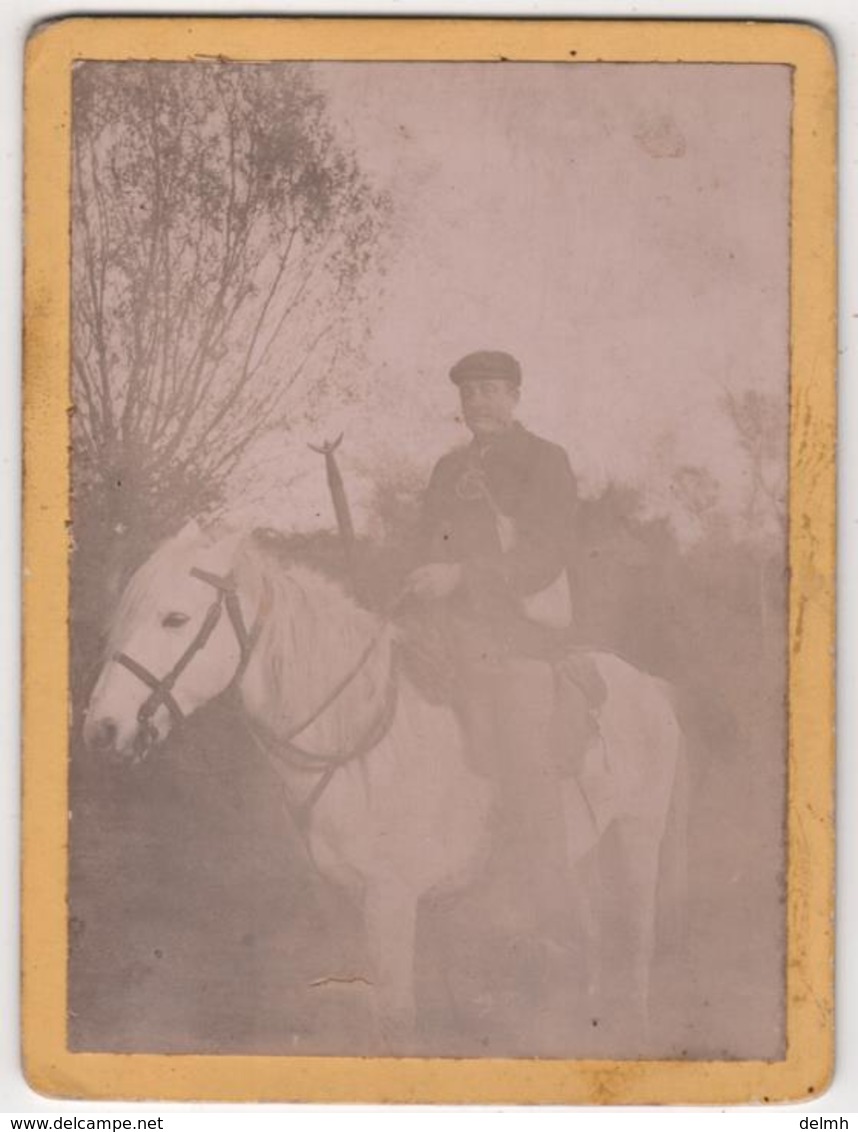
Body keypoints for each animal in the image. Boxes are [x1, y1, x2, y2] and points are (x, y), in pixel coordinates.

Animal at [85, 518, 683, 1041]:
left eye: (175, 619)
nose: (102, 728)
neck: (357, 738)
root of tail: (648, 683)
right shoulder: (340, 903)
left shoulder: (391, 902)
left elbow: (395, 1018)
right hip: (582, 853)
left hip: (638, 837)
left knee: (637, 945)